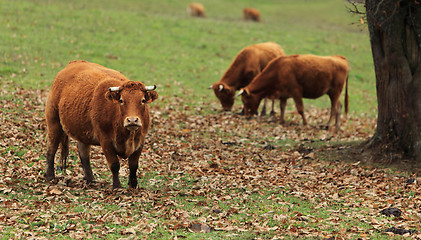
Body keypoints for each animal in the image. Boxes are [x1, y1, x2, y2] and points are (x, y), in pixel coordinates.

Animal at [44, 60, 158, 189]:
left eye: (143, 100)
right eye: (121, 100)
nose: (132, 120)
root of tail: (73, 63)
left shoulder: (140, 140)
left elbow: (133, 165)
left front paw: (133, 186)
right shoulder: (105, 140)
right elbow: (114, 164)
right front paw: (117, 186)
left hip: (82, 132)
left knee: (83, 152)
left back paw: (90, 179)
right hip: (53, 121)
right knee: (51, 148)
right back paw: (50, 176)